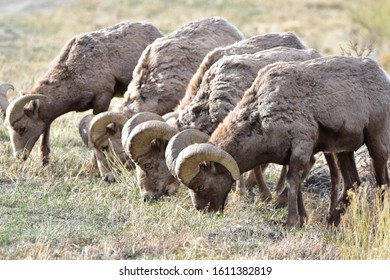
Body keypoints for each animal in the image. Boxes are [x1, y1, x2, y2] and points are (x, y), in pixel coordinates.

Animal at [172, 56, 388, 228]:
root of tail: (382, 76)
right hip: (342, 151)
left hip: (376, 142)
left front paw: (291, 222)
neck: (261, 115)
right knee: (353, 184)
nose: (204, 212)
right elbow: (297, 184)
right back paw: (330, 223)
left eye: (200, 186)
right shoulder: (295, 156)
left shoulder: (301, 148)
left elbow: (292, 181)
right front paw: (302, 220)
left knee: (382, 183)